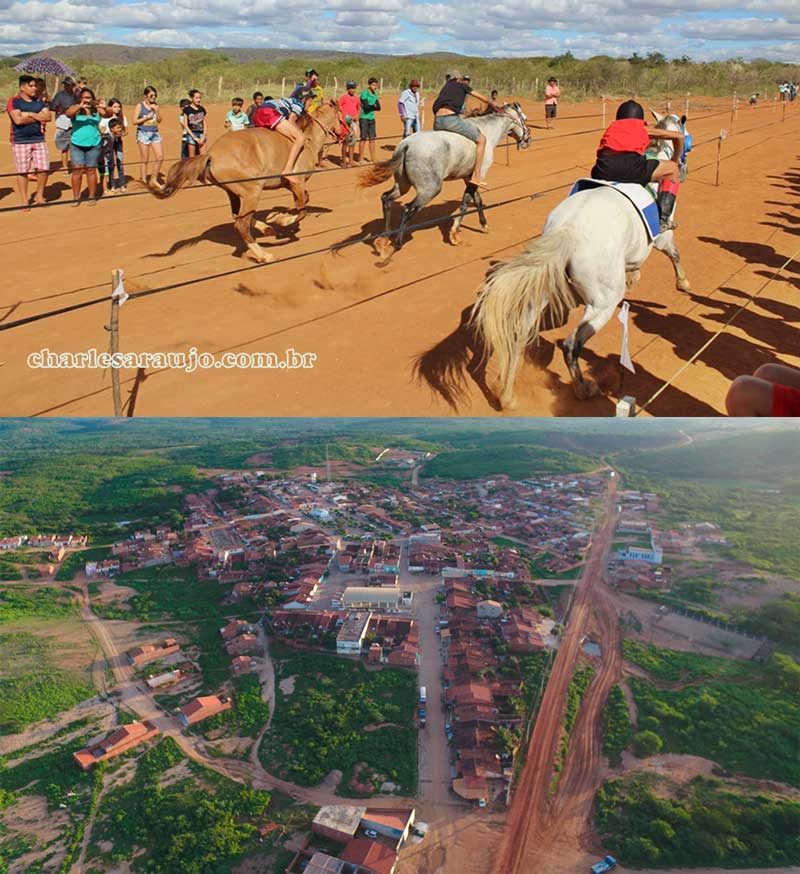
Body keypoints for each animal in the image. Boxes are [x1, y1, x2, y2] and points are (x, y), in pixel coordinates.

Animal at [150, 100, 340, 260]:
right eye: (341, 116)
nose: (345, 134)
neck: (308, 141)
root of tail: (211, 155)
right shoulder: (297, 184)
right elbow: (302, 212)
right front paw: (282, 220)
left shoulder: (293, 187)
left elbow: (304, 202)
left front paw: (277, 218)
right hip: (252, 191)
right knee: (241, 224)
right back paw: (264, 254)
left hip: (233, 193)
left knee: (237, 217)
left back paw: (267, 229)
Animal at [360, 106, 528, 249]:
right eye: (524, 119)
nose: (528, 140)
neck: (487, 131)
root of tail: (406, 145)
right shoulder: (477, 176)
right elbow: (465, 204)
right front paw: (454, 235)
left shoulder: (469, 177)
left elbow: (477, 200)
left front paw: (484, 225)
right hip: (430, 190)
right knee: (408, 209)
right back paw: (398, 243)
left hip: (402, 185)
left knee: (386, 198)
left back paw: (385, 237)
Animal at [472, 109, 692, 406]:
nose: (684, 169)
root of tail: (569, 230)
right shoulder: (662, 238)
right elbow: (675, 255)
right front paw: (683, 283)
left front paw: (635, 276)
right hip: (603, 303)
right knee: (570, 345)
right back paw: (583, 388)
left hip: (544, 289)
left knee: (519, 336)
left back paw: (506, 395)